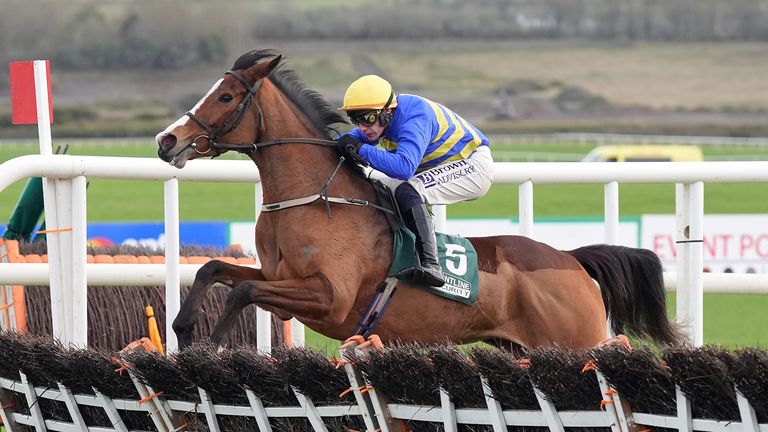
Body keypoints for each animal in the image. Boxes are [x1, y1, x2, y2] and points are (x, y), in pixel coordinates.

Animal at [156, 50, 684, 352]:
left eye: (225, 97)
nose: (167, 141)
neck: (317, 199)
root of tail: (571, 260)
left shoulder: (328, 297)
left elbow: (242, 291)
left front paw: (215, 344)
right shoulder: (281, 279)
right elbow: (214, 270)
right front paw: (183, 330)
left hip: (577, 343)